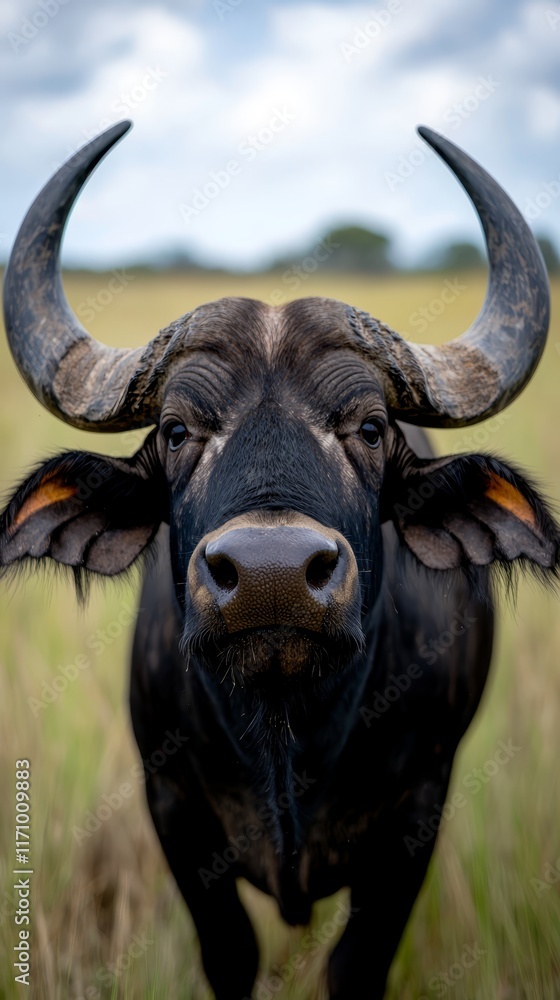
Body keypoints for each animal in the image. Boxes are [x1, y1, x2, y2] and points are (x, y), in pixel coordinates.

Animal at [1, 121, 558, 999]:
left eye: (369, 427)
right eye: (176, 430)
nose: (271, 577)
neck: (285, 733)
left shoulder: (418, 812)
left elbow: (357, 963)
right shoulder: (172, 806)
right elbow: (230, 953)